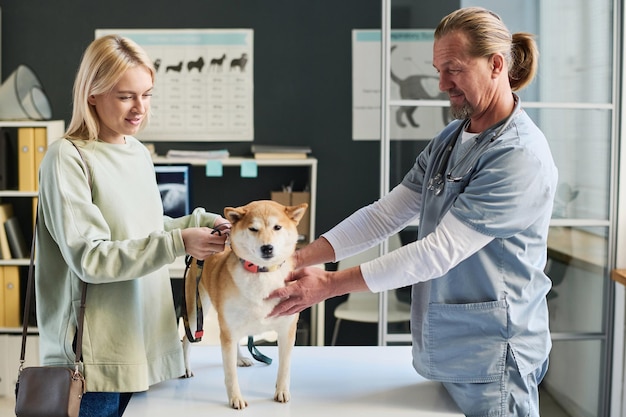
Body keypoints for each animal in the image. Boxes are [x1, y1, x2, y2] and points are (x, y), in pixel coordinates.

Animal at [180, 200, 308, 408]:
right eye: (253, 229)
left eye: (277, 227)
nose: (267, 248)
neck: (261, 273)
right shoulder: (228, 329)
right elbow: (230, 374)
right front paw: (235, 398)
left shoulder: (286, 330)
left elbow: (284, 367)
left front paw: (281, 391)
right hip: (196, 311)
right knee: (185, 340)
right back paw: (186, 369)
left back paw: (239, 358)